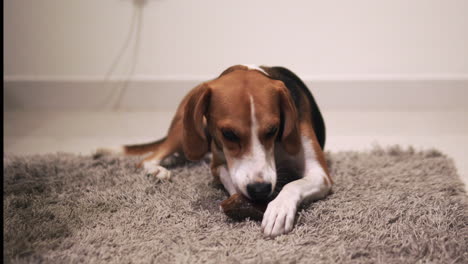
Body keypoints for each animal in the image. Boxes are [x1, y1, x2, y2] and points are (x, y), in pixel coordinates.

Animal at [98, 65, 332, 237]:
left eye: (273, 129)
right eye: (228, 134)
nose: (260, 190)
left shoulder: (321, 175)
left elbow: (293, 185)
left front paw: (278, 209)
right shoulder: (217, 165)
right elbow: (231, 180)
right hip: (186, 131)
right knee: (150, 157)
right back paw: (156, 170)